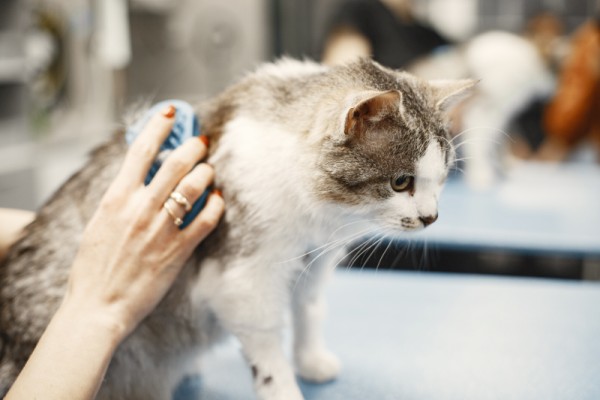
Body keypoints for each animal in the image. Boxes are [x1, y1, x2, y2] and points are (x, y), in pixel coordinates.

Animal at [0, 57, 474, 398]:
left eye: (442, 177)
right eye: (401, 182)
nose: (431, 217)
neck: (320, 218)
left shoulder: (311, 265)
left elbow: (309, 311)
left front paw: (310, 361)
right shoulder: (244, 281)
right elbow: (267, 352)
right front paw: (284, 389)